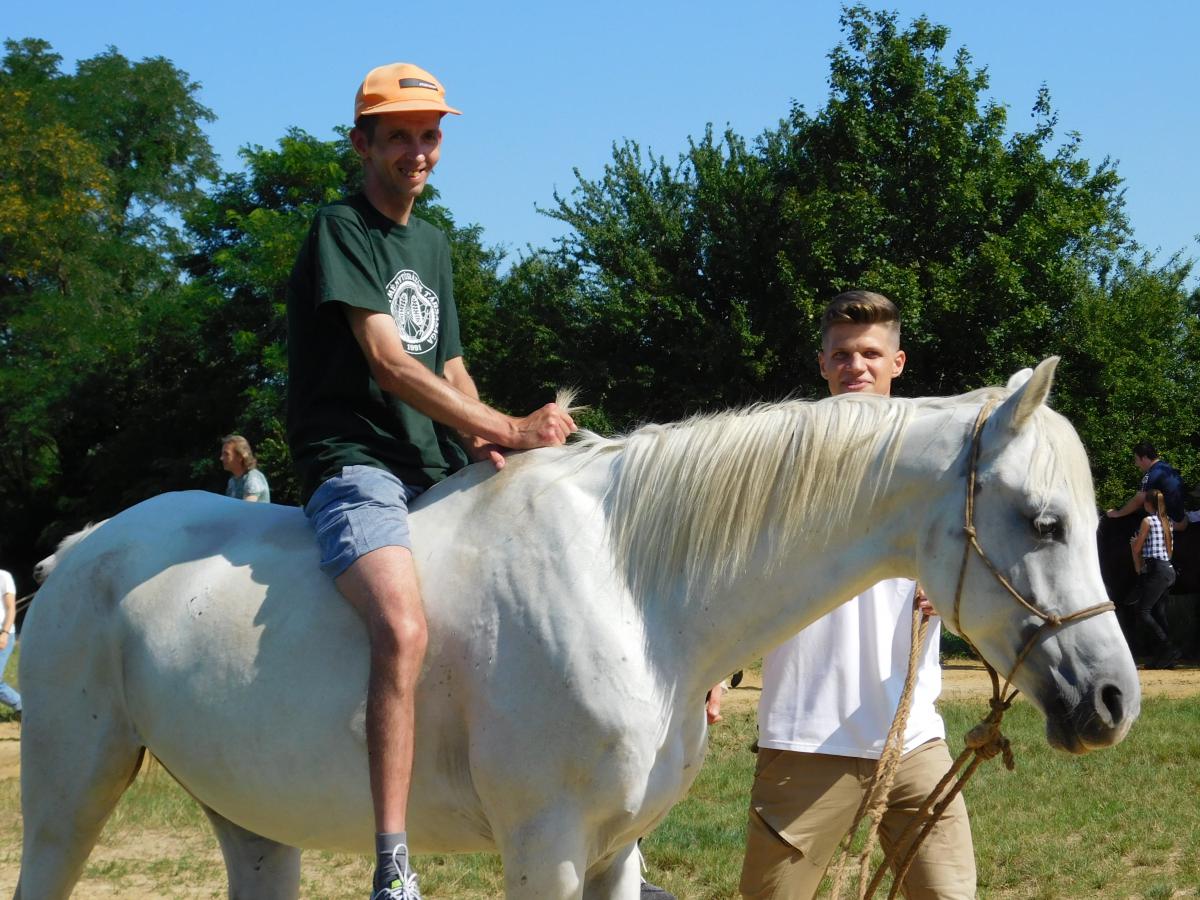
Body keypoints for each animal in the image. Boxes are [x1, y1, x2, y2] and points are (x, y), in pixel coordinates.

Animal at [15, 358, 1139, 899]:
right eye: (1045, 521)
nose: (1112, 701)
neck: (635, 591)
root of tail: (76, 554)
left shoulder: (615, 854)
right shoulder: (546, 853)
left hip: (254, 824)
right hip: (68, 799)